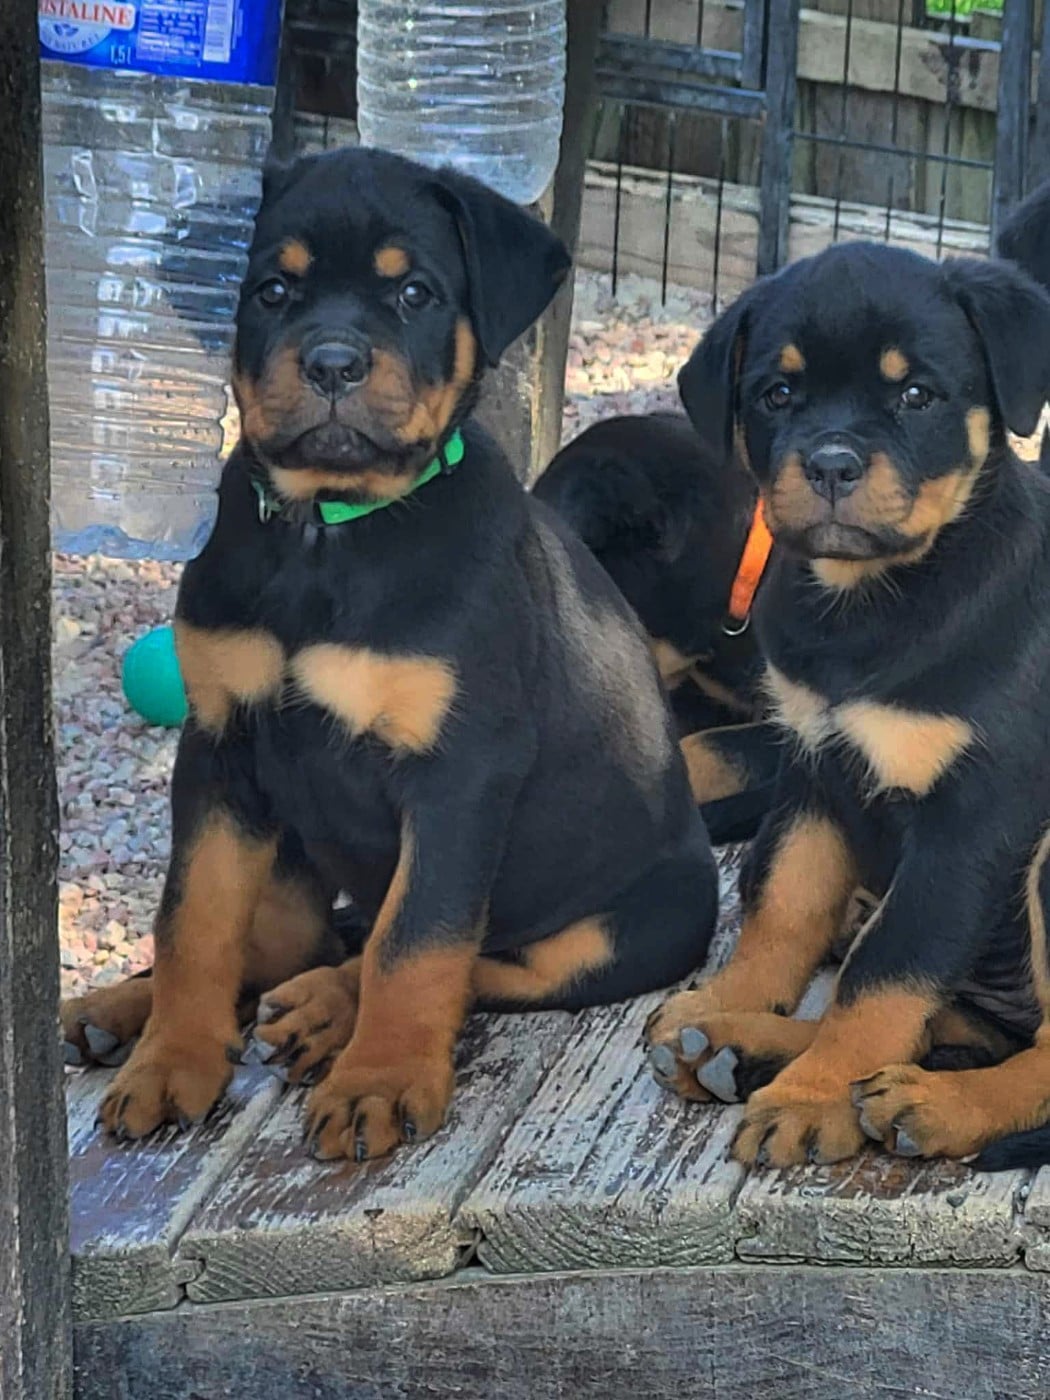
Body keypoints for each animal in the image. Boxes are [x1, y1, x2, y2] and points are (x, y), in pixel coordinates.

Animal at [65, 146, 720, 1165]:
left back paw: (323, 1014)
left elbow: (417, 940)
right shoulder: (219, 748)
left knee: (456, 957)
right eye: (272, 289)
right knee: (306, 938)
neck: (325, 532)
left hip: (639, 927)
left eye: (415, 292)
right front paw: (172, 1060)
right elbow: (195, 919)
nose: (334, 363)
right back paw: (125, 1009)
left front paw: (378, 1082)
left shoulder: (460, 771)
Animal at [643, 229, 1050, 1170]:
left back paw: (935, 1104)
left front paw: (815, 1098)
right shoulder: (814, 767)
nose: (832, 463)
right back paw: (739, 1045)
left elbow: (888, 969)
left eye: (916, 393)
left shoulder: (973, 818)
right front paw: (728, 1001)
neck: (870, 601)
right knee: (962, 1023)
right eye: (778, 392)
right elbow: (781, 902)